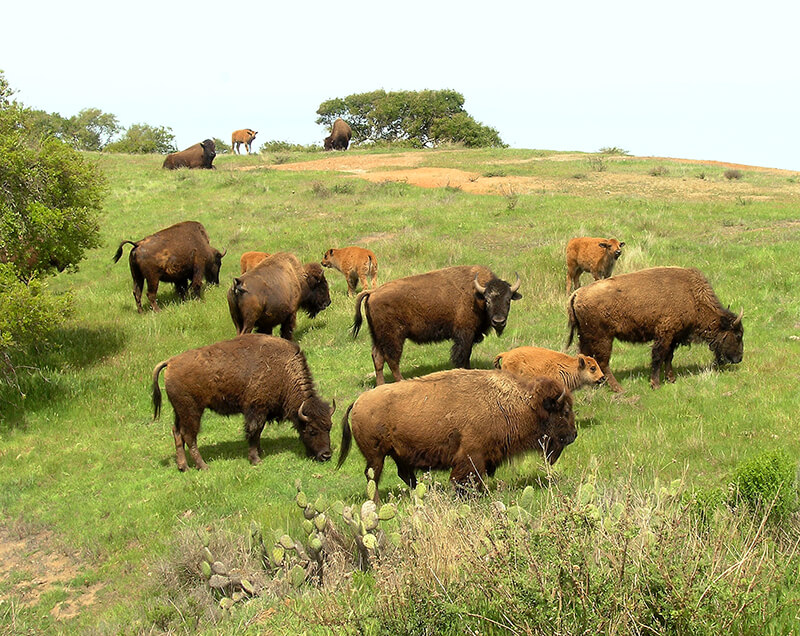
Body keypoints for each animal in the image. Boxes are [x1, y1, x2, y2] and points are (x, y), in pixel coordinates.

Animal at [152, 336, 336, 470]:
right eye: (311, 430)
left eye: (329, 428)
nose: (326, 455)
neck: (284, 370)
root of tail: (171, 362)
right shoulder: (256, 410)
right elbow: (253, 432)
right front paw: (256, 459)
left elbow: (258, 433)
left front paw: (260, 452)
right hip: (192, 411)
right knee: (189, 436)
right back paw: (203, 466)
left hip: (179, 412)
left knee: (177, 432)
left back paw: (183, 467)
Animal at [338, 368, 576, 502]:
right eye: (564, 411)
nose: (573, 435)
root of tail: (358, 401)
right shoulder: (471, 455)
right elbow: (466, 477)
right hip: (376, 456)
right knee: (373, 477)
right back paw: (378, 503)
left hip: (397, 454)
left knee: (405, 475)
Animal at [354, 266, 520, 386]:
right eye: (487, 300)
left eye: (508, 300)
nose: (498, 321)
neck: (476, 295)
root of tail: (373, 292)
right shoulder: (465, 335)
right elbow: (463, 355)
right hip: (394, 337)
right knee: (392, 359)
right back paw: (400, 381)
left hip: (377, 337)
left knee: (378, 357)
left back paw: (381, 385)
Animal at [568, 266, 744, 390]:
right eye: (738, 335)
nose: (739, 359)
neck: (692, 296)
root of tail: (577, 294)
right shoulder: (665, 334)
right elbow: (658, 357)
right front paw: (656, 384)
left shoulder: (673, 337)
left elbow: (669, 357)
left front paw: (671, 379)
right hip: (603, 338)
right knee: (603, 362)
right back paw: (619, 389)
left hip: (586, 336)